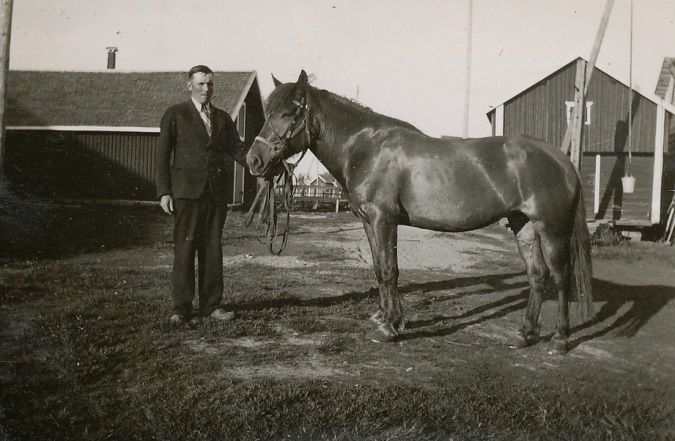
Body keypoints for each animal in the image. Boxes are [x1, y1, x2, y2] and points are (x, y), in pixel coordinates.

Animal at [246, 72, 596, 354]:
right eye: (267, 112)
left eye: (287, 113)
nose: (254, 160)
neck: (365, 148)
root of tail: (562, 160)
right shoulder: (369, 222)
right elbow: (378, 269)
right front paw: (381, 317)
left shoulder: (384, 220)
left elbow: (390, 270)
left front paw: (391, 327)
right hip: (523, 225)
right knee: (537, 275)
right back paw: (524, 334)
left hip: (553, 230)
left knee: (561, 278)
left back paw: (560, 340)